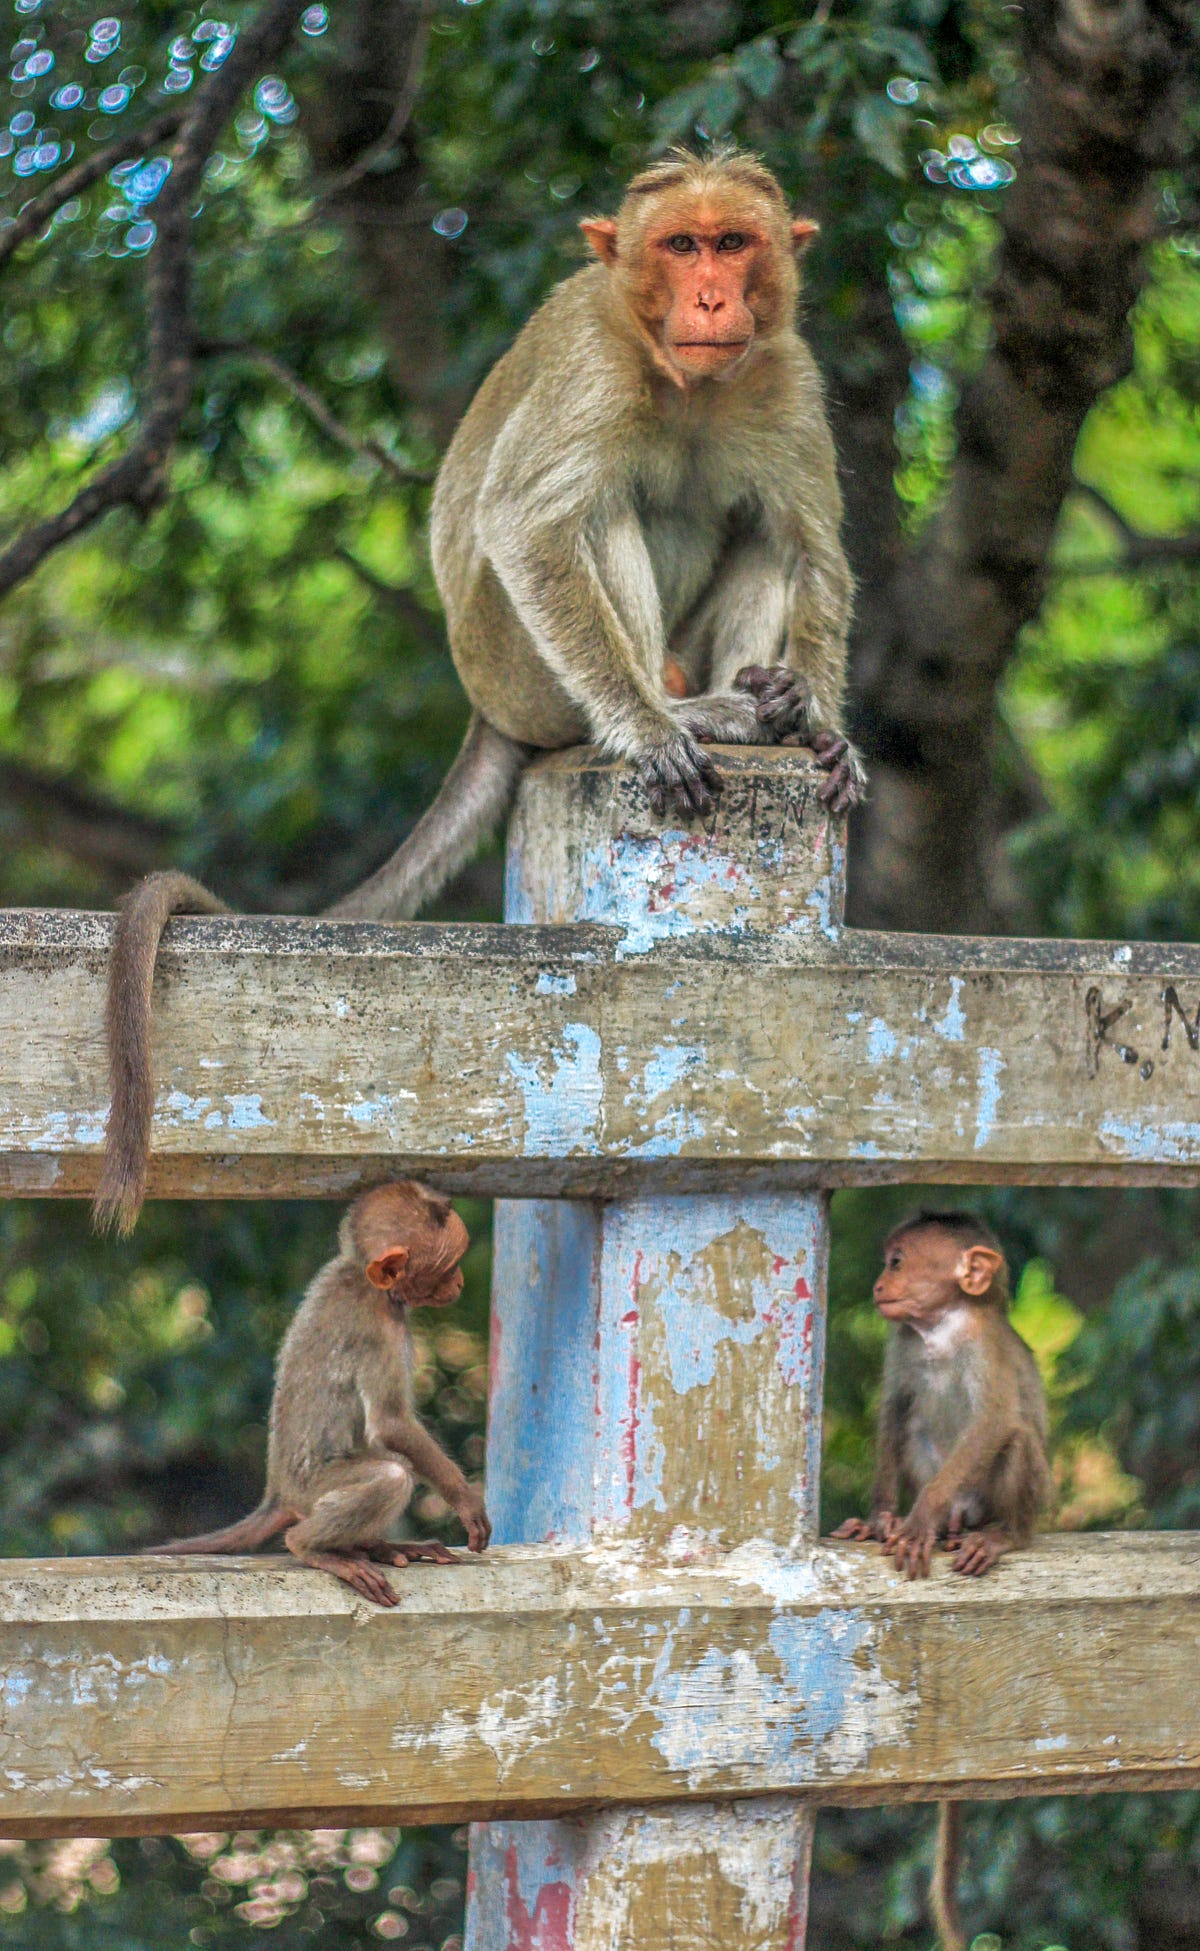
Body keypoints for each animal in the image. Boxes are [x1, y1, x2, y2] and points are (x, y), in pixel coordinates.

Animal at [95, 146, 862, 1235]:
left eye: (733, 242)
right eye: (680, 244)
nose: (712, 295)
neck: (686, 382)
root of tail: (485, 707)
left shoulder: (785, 374)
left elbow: (812, 550)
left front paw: (827, 729)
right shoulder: (593, 372)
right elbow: (528, 526)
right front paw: (647, 732)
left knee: (756, 527)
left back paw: (767, 704)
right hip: (517, 667)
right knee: (591, 512)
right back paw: (681, 711)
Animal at [144, 1181, 490, 1607]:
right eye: (449, 1267)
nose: (460, 1283)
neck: (364, 1281)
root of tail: (279, 1493)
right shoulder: (379, 1330)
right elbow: (391, 1425)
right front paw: (465, 1500)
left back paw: (374, 1545)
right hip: (312, 1492)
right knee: (391, 1474)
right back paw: (310, 1546)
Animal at [832, 1209, 1053, 1951]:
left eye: (898, 1261)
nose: (879, 1284)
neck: (943, 1328)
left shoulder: (983, 1346)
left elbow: (993, 1423)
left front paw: (917, 1520)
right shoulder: (903, 1345)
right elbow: (893, 1415)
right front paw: (881, 1518)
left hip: (1010, 1498)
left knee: (1015, 1438)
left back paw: (991, 1534)